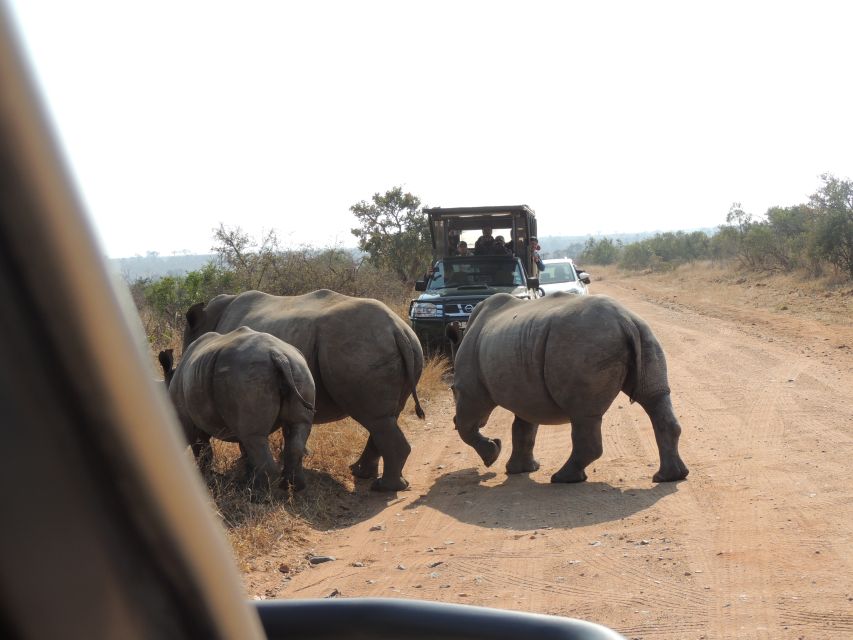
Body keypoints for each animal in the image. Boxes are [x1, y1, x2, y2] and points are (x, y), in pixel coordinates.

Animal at [157, 328, 316, 492]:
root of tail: (279, 355)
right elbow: (242, 450)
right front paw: (245, 477)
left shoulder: (187, 419)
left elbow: (200, 450)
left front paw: (203, 479)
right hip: (298, 368)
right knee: (296, 428)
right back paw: (293, 487)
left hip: (245, 376)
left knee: (254, 437)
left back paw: (261, 494)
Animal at [186, 290, 426, 490]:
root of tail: (398, 329)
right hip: (403, 347)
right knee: (385, 418)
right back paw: (364, 474)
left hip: (359, 347)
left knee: (375, 418)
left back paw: (383, 487)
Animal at [450, 292, 688, 482]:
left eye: (452, 390)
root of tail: (625, 320)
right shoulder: (526, 390)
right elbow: (524, 428)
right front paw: (520, 470)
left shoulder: (470, 390)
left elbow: (467, 425)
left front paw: (492, 455)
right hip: (644, 334)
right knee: (655, 398)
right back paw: (669, 477)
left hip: (582, 345)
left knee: (583, 414)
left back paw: (563, 478)